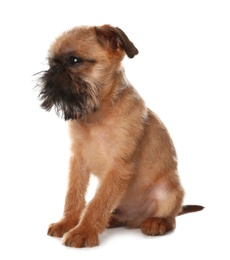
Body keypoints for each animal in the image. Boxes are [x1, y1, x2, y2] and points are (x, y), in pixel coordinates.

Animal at [37, 24, 203, 248]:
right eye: (51, 62)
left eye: (74, 61)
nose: (52, 71)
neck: (99, 113)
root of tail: (135, 219)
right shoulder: (78, 161)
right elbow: (74, 195)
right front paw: (68, 222)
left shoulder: (119, 166)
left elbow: (98, 202)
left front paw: (83, 232)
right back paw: (112, 220)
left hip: (170, 190)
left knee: (171, 218)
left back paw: (156, 223)